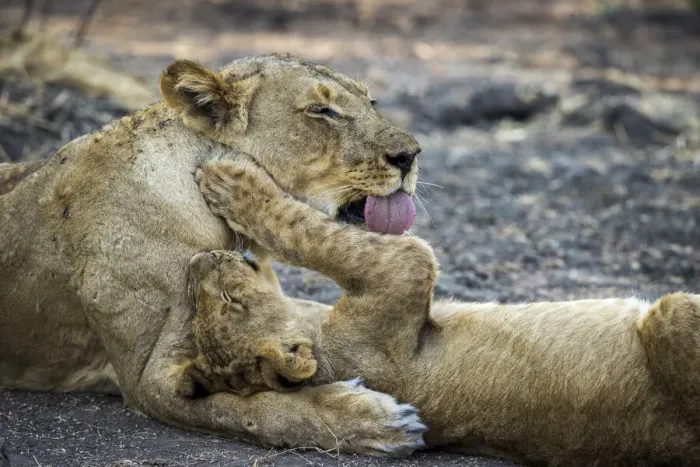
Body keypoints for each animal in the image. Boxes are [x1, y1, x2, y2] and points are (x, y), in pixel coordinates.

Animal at [0, 54, 427, 455]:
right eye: (321, 111)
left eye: (371, 100)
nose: (410, 155)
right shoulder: (148, 380)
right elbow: (255, 411)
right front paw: (373, 422)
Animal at [192, 157, 700, 466]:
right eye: (231, 301)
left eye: (216, 305)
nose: (200, 260)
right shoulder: (403, 268)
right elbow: (308, 231)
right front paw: (230, 180)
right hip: (671, 313)